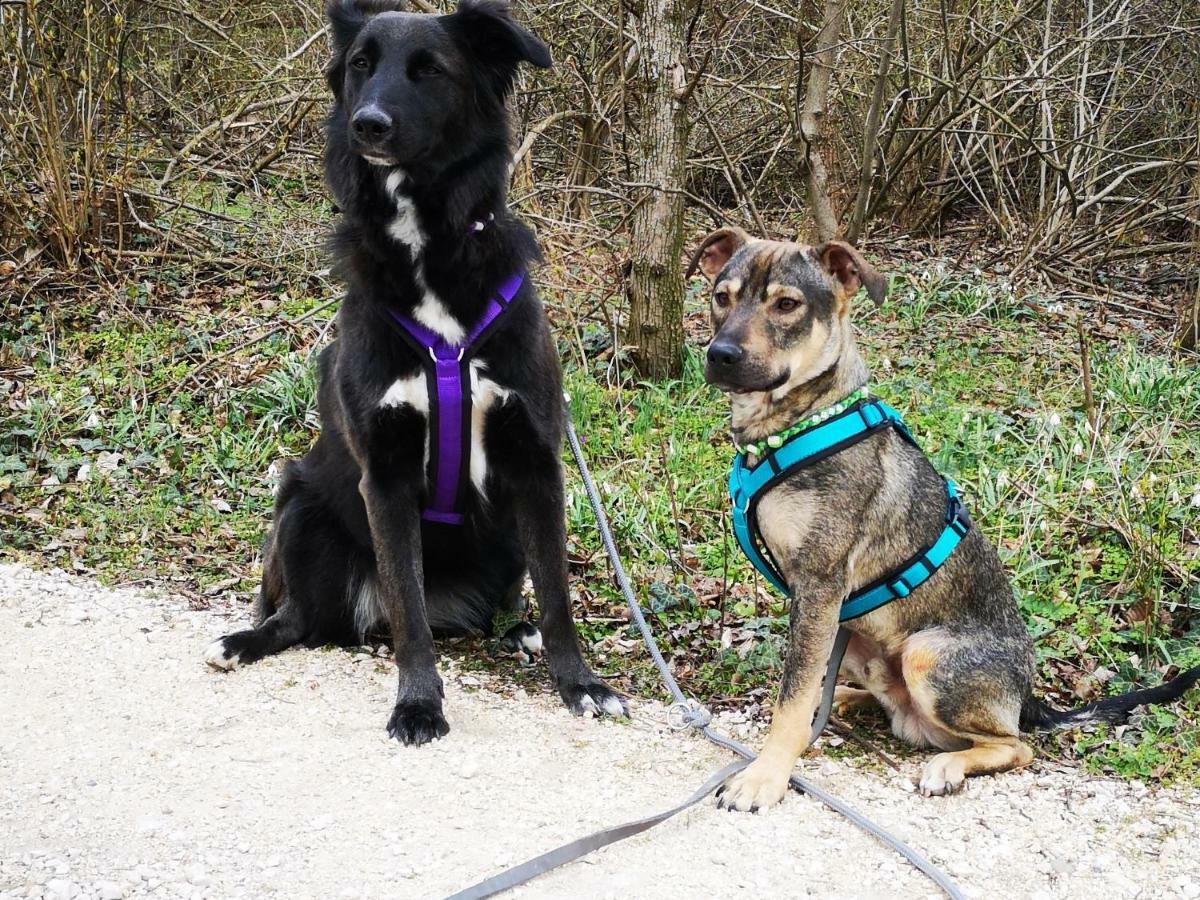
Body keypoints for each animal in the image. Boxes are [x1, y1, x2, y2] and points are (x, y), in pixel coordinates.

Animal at [206, 0, 624, 748]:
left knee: (497, 608)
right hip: (299, 505)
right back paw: (243, 641)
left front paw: (579, 683)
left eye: (429, 71)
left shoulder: (536, 463)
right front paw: (419, 704)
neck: (429, 246)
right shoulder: (387, 475)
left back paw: (517, 635)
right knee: (300, 619)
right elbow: (409, 610)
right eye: (360, 65)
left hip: (503, 538)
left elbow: (557, 595)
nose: (367, 124)